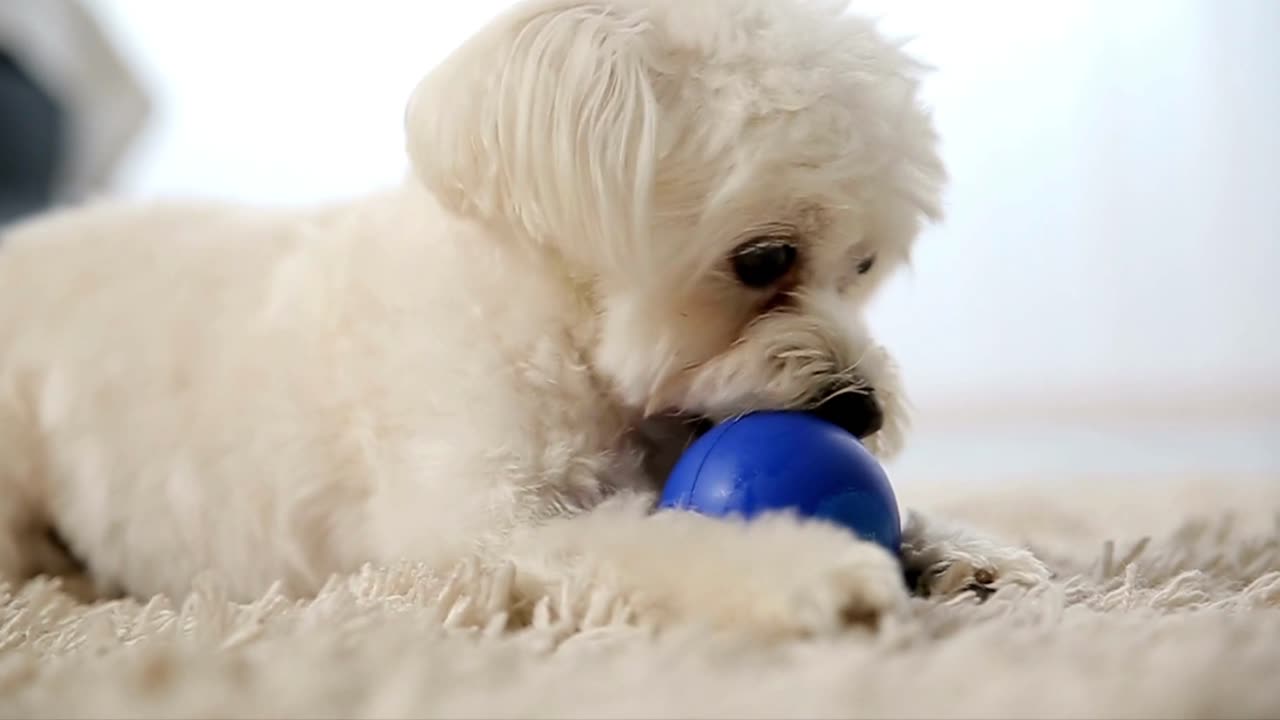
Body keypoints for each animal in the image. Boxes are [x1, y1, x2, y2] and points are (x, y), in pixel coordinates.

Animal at [0, 0, 1044, 627]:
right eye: (763, 260)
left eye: (863, 266)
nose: (862, 411)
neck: (554, 328)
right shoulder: (485, 527)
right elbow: (660, 539)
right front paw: (814, 570)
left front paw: (970, 550)